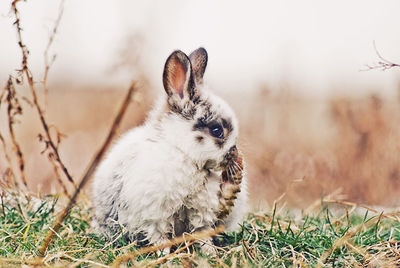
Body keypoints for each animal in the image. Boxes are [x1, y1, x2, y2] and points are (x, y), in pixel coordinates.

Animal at [92, 47, 248, 248]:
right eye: (217, 130)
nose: (235, 154)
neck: (184, 154)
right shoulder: (155, 217)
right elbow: (160, 237)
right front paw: (164, 252)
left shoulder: (203, 213)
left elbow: (203, 234)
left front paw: (209, 252)